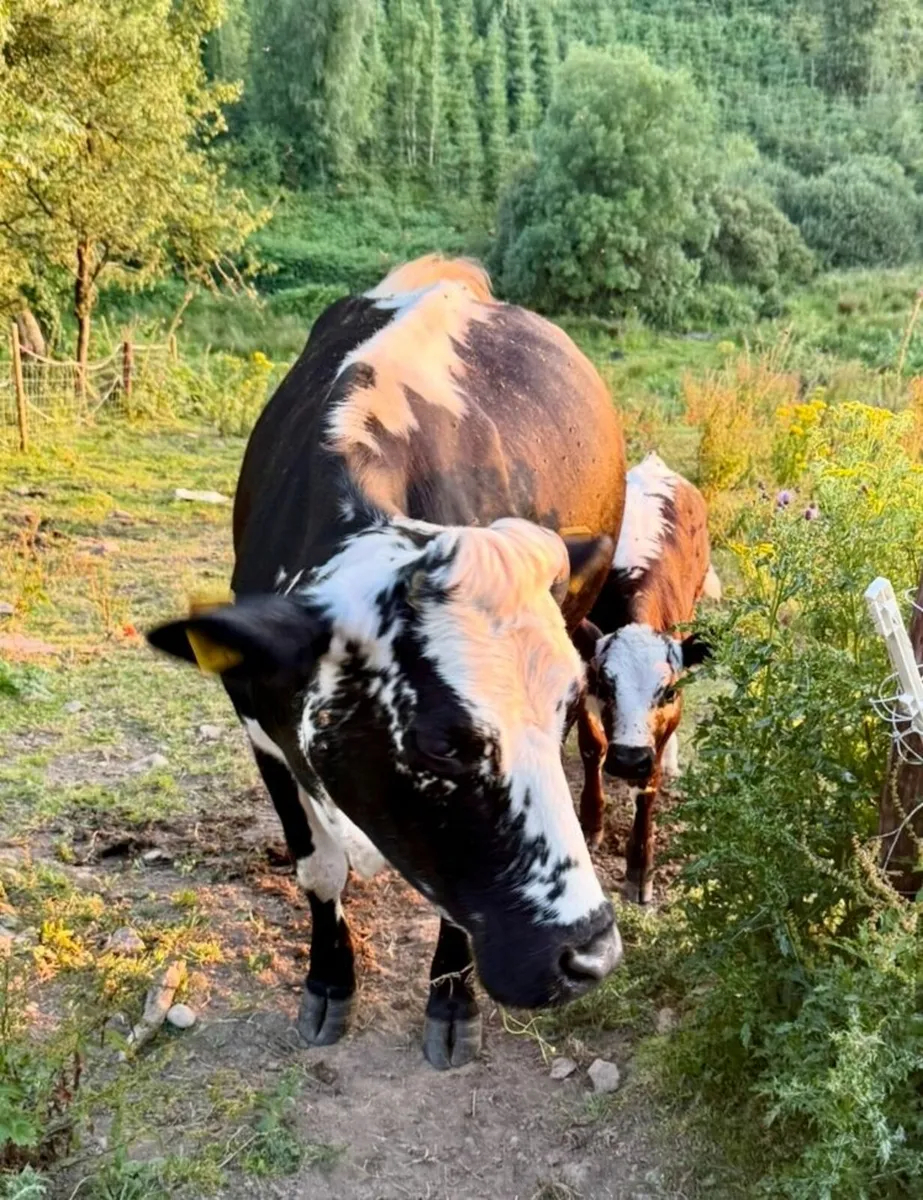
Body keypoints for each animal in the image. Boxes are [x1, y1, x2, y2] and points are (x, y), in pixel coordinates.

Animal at [146, 256, 627, 1070]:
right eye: (440, 743)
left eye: (564, 706)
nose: (591, 955)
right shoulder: (255, 714)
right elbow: (319, 865)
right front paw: (328, 982)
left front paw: (451, 1003)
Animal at [574, 452, 720, 904]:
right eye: (605, 685)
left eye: (668, 690)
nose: (627, 759)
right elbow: (591, 747)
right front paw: (591, 822)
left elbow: (649, 784)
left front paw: (640, 868)